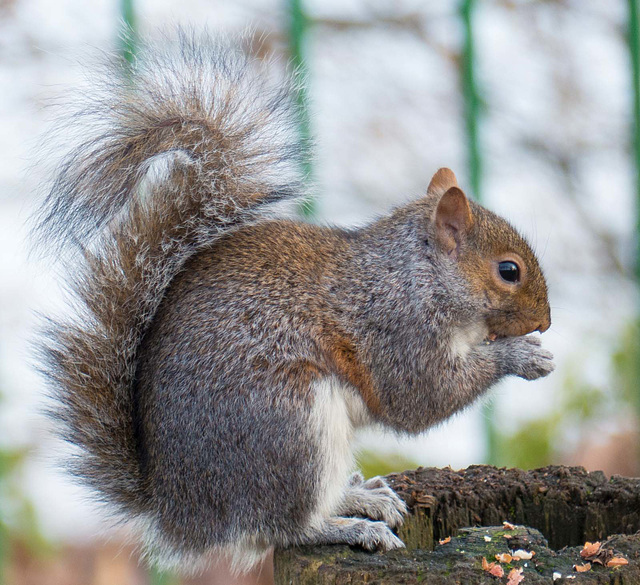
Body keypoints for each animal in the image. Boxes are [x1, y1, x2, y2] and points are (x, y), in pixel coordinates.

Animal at [33, 29, 556, 572]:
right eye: (509, 271)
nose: (546, 320)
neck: (418, 275)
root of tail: (182, 512)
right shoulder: (396, 329)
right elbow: (421, 397)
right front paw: (521, 356)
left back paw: (363, 498)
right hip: (290, 425)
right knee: (286, 526)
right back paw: (350, 527)